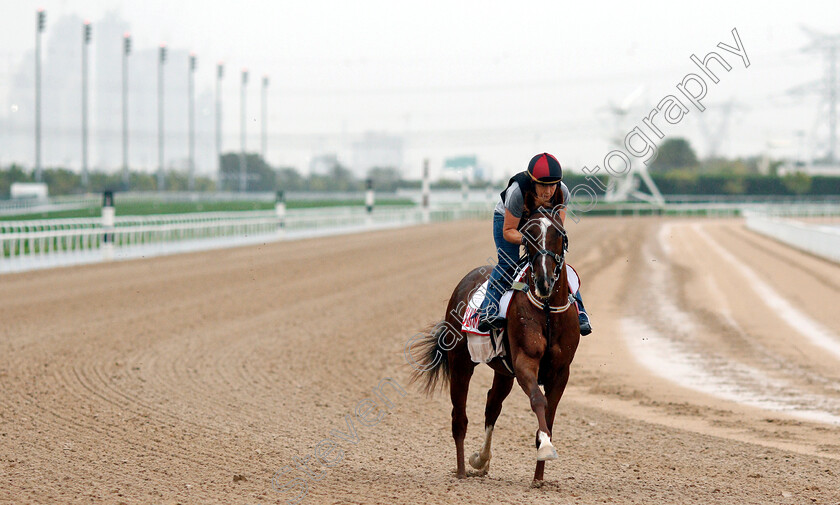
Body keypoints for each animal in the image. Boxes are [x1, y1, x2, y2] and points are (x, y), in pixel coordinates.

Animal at [408, 208, 580, 484]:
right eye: (528, 235)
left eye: (558, 233)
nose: (543, 281)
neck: (546, 310)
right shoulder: (525, 362)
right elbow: (538, 401)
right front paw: (545, 447)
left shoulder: (561, 371)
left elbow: (549, 416)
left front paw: (539, 477)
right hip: (460, 363)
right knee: (459, 417)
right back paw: (461, 471)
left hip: (503, 372)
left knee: (492, 406)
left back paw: (481, 460)